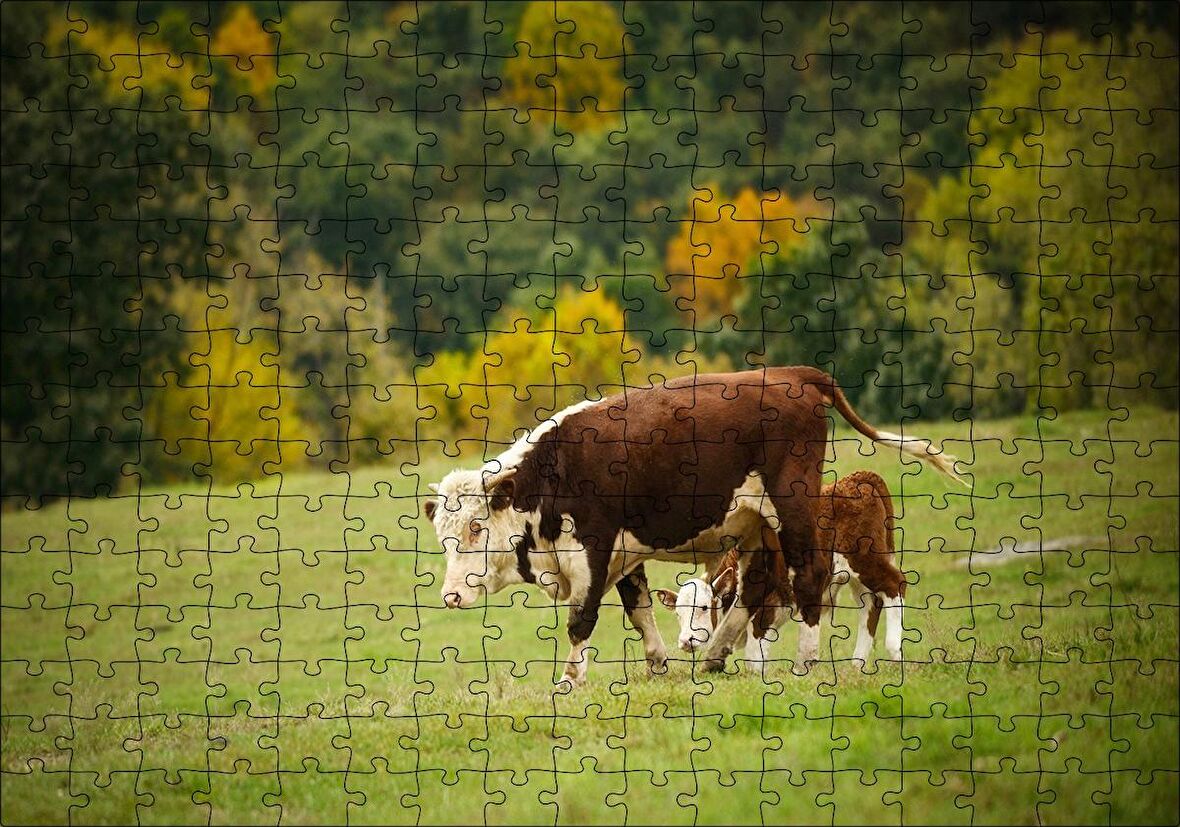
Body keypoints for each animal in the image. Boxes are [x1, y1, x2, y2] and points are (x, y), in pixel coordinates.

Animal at [656, 467, 901, 670]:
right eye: (677, 613)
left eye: (704, 607)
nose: (686, 641)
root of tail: (858, 477)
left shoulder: (765, 613)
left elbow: (754, 660)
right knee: (871, 605)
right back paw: (857, 664)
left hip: (865, 559)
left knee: (894, 585)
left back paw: (894, 650)